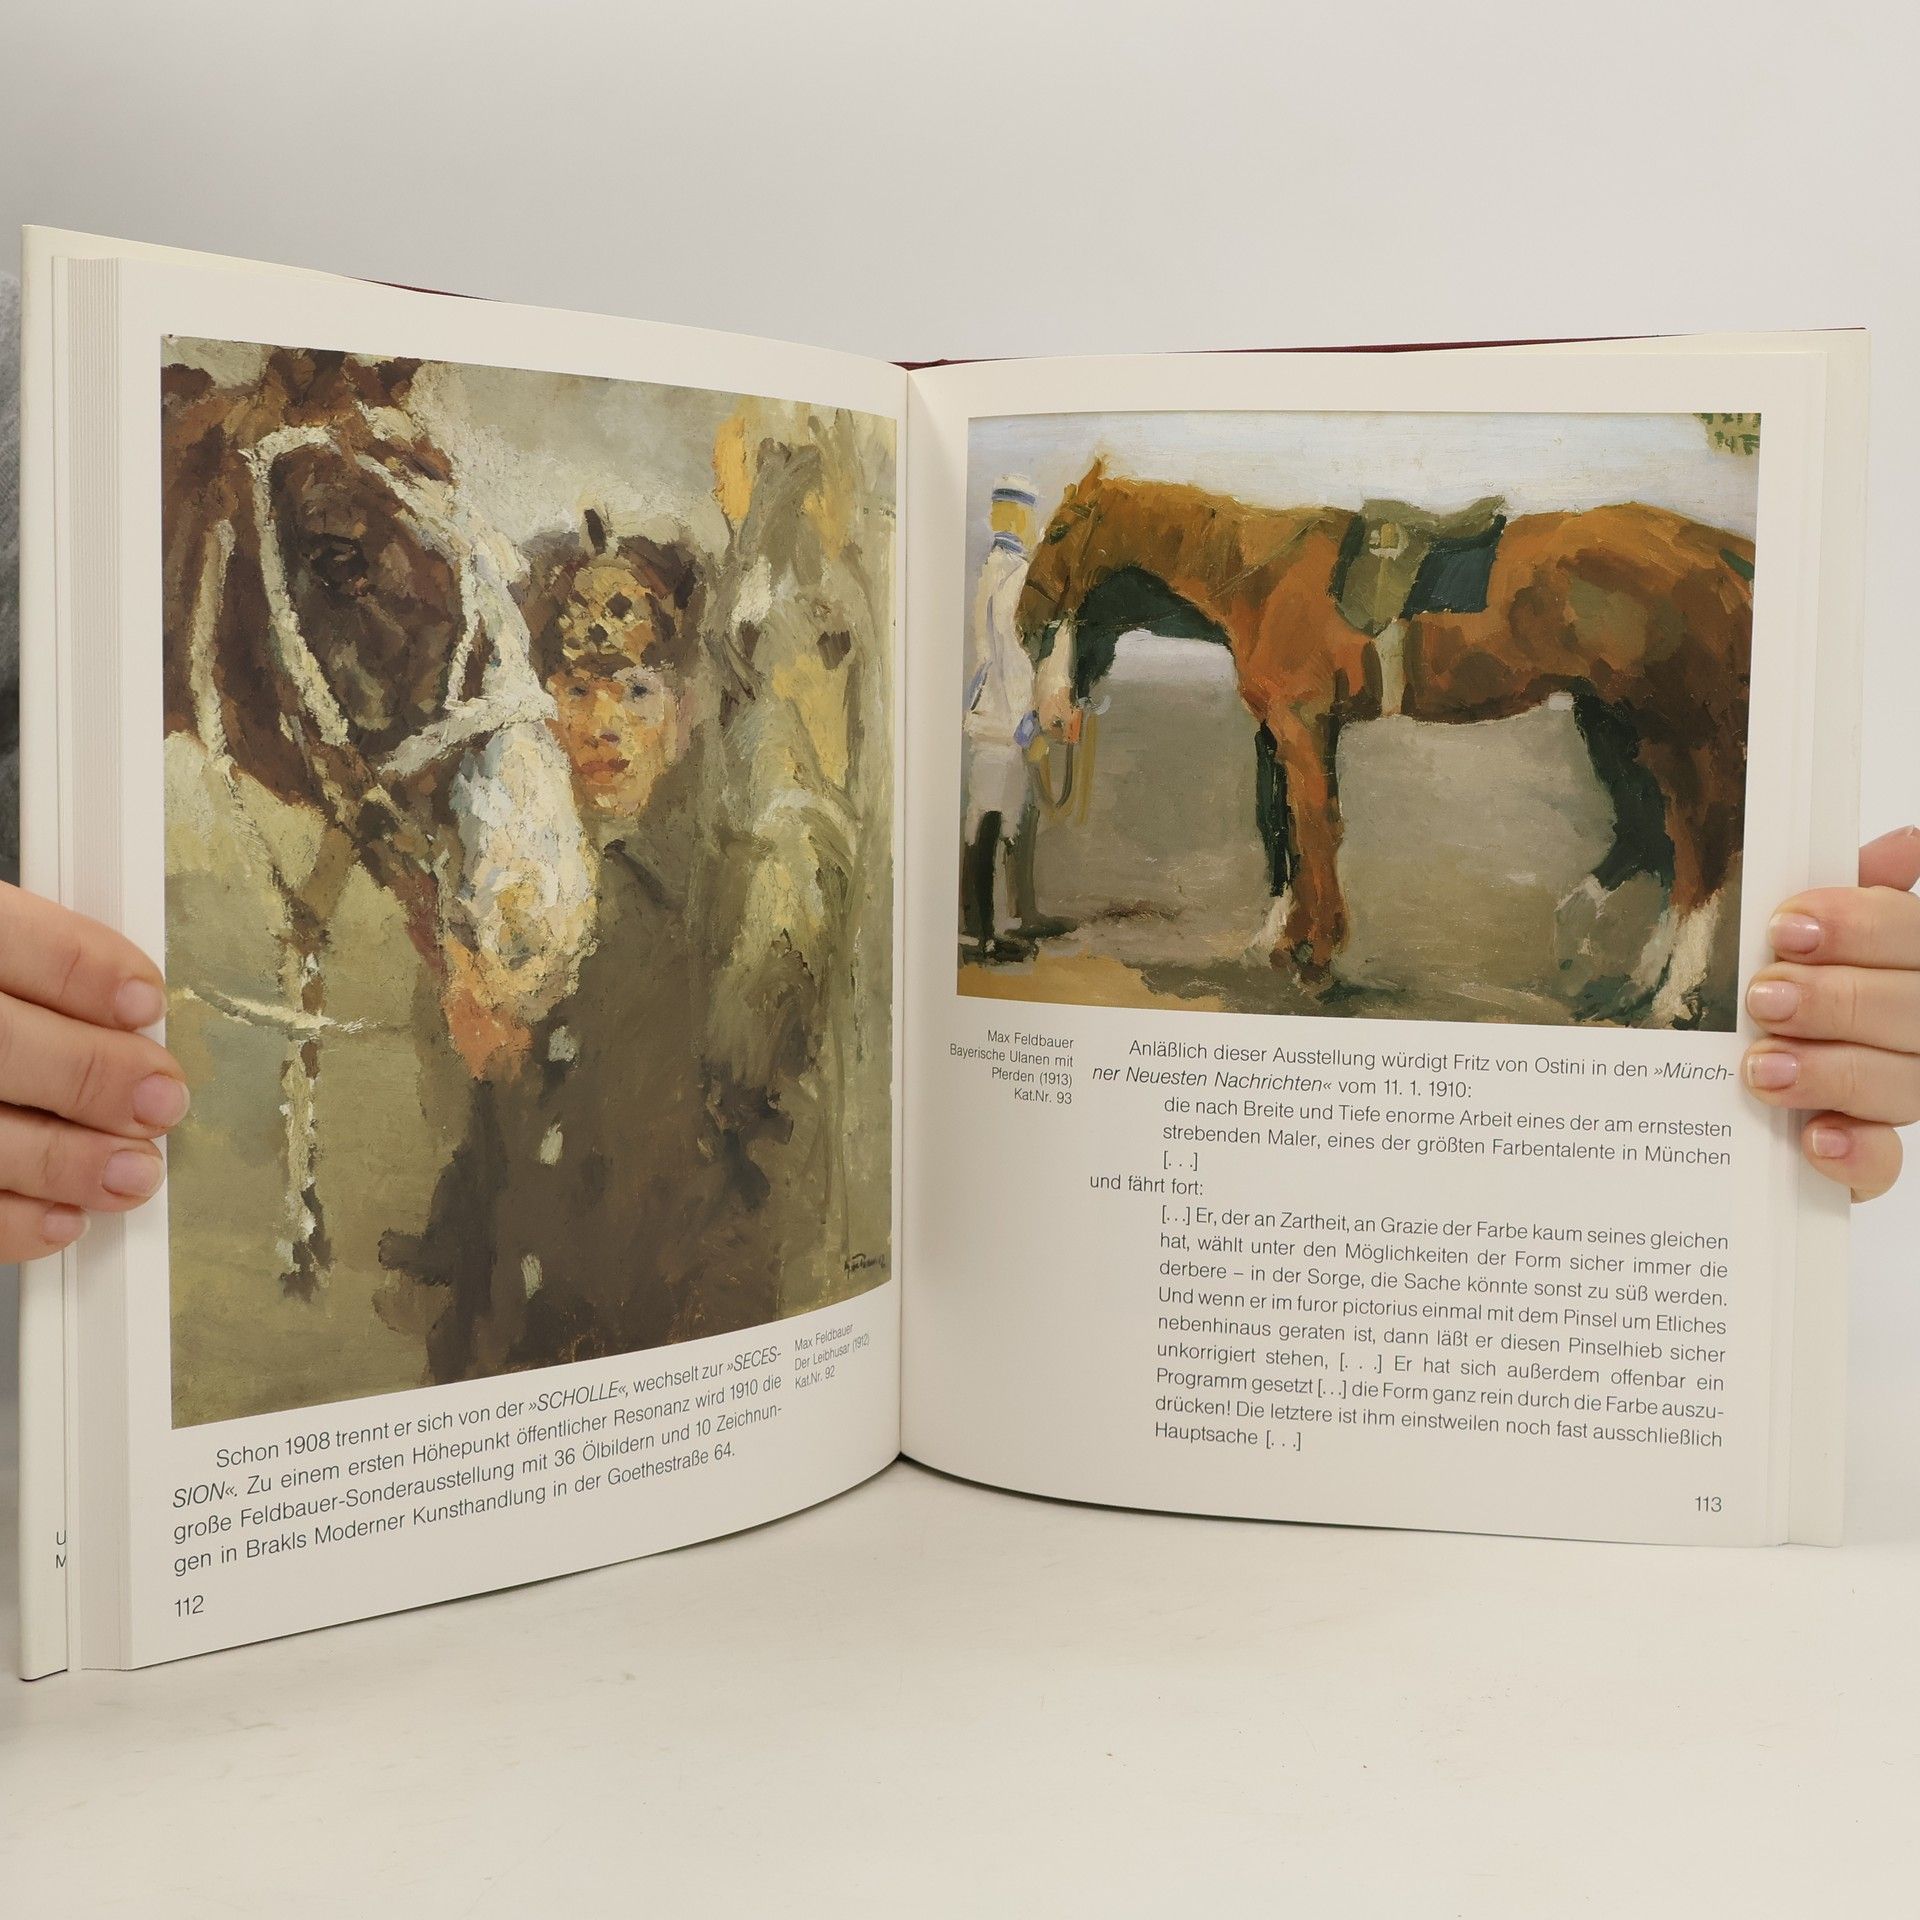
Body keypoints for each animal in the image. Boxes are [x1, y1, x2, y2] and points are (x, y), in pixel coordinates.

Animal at [1017, 460, 1753, 1027]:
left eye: (1061, 529)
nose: (1022, 622)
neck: (1261, 576)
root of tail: (1712, 545)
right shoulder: (1281, 728)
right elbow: (1279, 827)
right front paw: (1278, 944)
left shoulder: (1303, 724)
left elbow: (1315, 828)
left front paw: (1314, 960)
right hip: (1611, 721)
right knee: (1657, 835)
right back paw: (1629, 977)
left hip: (1675, 731)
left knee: (1697, 842)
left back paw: (1669, 993)